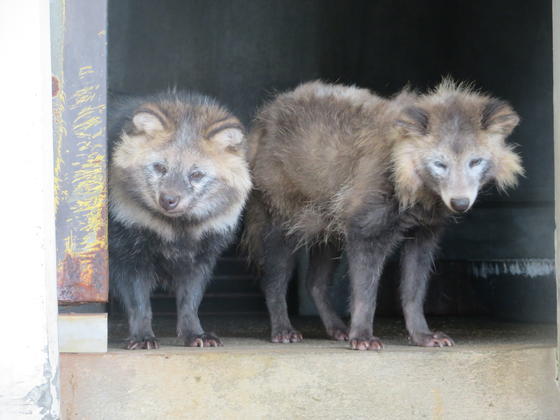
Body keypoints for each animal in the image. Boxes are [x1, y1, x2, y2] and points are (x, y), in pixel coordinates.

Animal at [107, 90, 252, 350]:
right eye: (159, 167)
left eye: (197, 174)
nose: (169, 200)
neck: (177, 231)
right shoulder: (127, 253)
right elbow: (139, 304)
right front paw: (142, 339)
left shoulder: (201, 257)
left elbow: (190, 302)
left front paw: (197, 335)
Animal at [247, 80, 524, 350]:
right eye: (439, 164)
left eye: (475, 161)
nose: (460, 202)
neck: (415, 191)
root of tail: (261, 121)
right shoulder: (366, 224)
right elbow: (366, 289)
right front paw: (363, 339)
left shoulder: (424, 231)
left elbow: (414, 289)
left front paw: (427, 337)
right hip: (280, 212)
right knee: (274, 276)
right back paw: (285, 332)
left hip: (326, 220)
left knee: (315, 281)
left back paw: (338, 330)